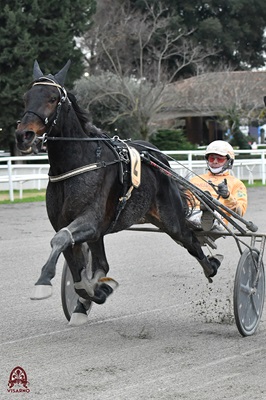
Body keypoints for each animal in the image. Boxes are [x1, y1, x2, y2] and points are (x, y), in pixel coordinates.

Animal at [15, 61, 221, 326]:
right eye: (26, 97)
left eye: (52, 98)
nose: (24, 135)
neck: (75, 164)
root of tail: (157, 155)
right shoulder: (79, 226)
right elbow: (79, 275)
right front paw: (95, 292)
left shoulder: (90, 221)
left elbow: (60, 239)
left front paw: (42, 283)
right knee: (103, 263)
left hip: (170, 218)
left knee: (190, 240)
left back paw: (211, 266)